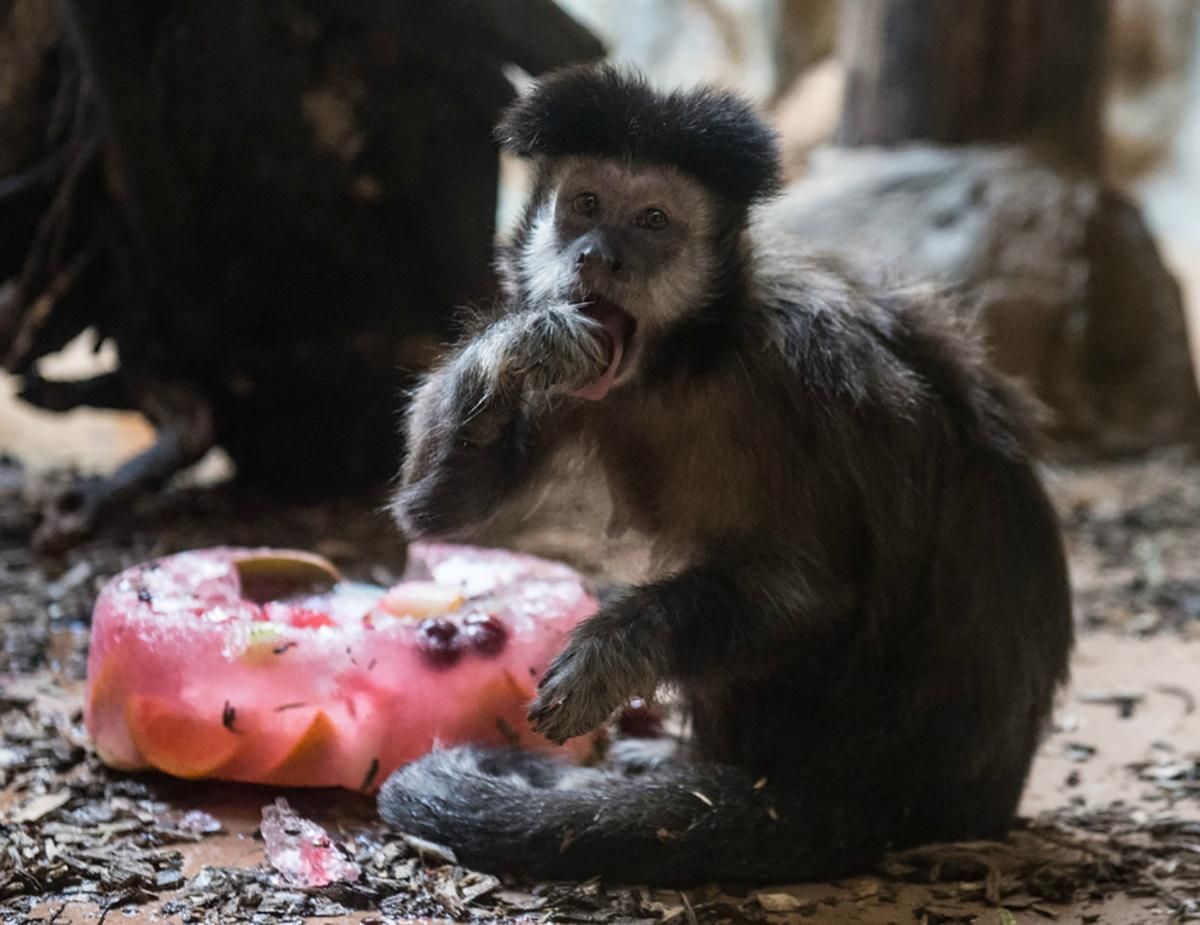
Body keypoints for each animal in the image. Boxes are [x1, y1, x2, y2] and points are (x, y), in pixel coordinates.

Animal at [379, 66, 1075, 887]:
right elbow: (442, 511)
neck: (687, 360)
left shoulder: (804, 376)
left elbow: (810, 592)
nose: (596, 256)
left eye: (652, 220)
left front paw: (611, 652)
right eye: (586, 205)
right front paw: (519, 345)